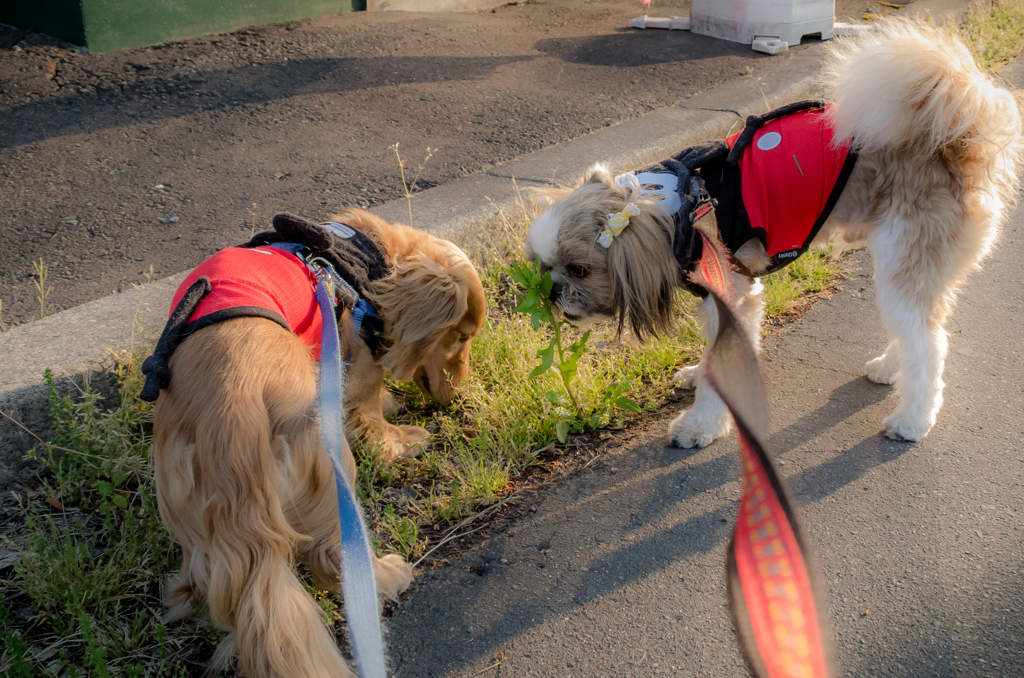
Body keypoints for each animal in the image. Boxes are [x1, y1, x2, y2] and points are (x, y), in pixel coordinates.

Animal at [144, 209, 487, 675]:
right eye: (461, 337)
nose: (458, 396)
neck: (371, 257)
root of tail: (232, 426)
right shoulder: (356, 356)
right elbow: (369, 407)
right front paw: (399, 440)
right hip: (327, 460)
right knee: (333, 557)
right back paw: (388, 576)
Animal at [524, 18, 1019, 448]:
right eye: (545, 268)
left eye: (580, 269)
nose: (554, 293)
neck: (681, 203)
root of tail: (955, 142)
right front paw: (698, 373)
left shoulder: (732, 290)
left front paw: (702, 423)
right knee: (919, 327)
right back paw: (889, 368)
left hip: (906, 259)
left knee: (928, 343)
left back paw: (913, 419)